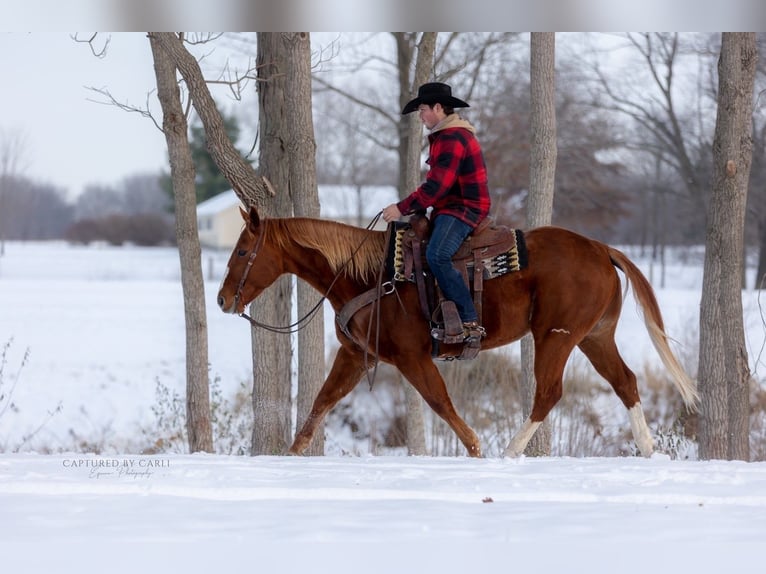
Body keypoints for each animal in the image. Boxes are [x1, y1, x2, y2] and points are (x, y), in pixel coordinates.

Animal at [217, 206, 699, 458]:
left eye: (242, 250)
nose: (223, 300)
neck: (371, 276)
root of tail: (600, 248)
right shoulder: (357, 356)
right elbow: (322, 401)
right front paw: (292, 455)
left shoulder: (412, 358)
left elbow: (440, 402)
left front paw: (476, 448)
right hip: (594, 337)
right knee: (625, 382)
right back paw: (648, 448)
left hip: (556, 336)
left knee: (548, 393)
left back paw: (509, 452)